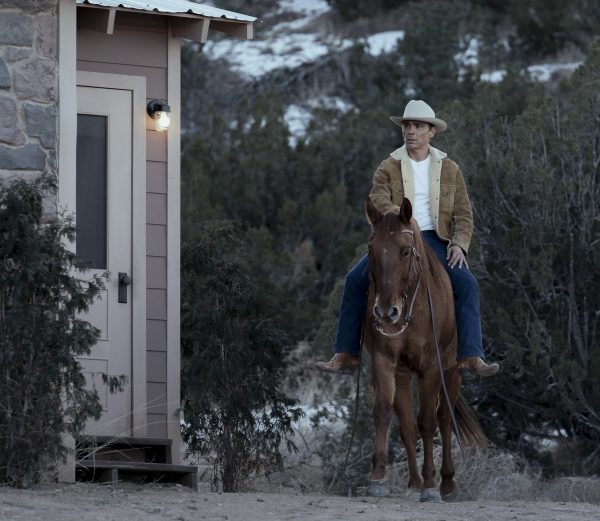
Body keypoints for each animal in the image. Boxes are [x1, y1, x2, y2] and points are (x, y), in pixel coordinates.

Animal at [363, 196, 486, 502]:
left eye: (406, 251)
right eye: (371, 250)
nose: (386, 312)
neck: (411, 305)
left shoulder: (432, 368)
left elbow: (429, 421)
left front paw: (431, 484)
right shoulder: (384, 362)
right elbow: (384, 413)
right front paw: (378, 477)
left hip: (451, 372)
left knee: (444, 418)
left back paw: (447, 482)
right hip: (403, 376)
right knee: (407, 424)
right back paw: (414, 482)